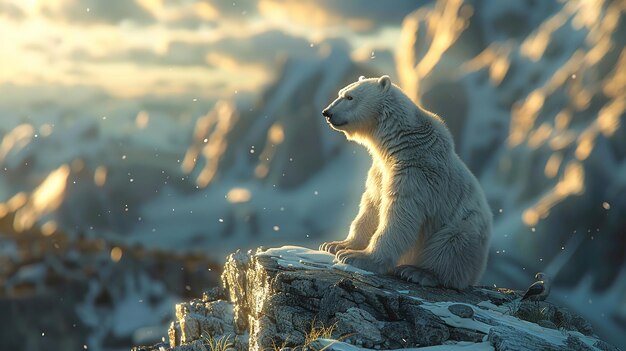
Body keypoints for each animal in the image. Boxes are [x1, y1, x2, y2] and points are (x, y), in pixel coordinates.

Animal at [320, 75, 490, 290]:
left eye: (350, 97)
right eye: (340, 93)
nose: (327, 113)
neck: (403, 141)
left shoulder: (416, 171)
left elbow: (399, 213)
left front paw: (357, 257)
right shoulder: (381, 169)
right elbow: (372, 203)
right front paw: (337, 245)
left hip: (463, 227)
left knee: (450, 245)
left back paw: (417, 272)